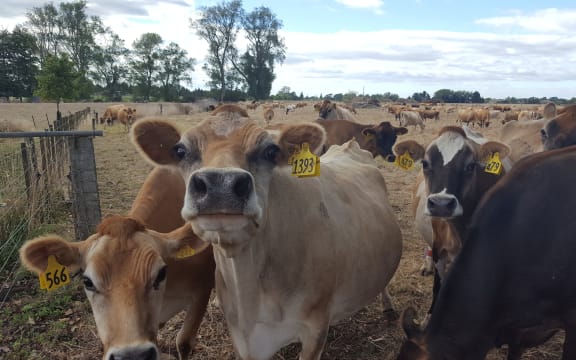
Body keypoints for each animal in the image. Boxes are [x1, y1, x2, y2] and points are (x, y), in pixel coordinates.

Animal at [131, 103, 402, 360]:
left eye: (271, 151)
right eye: (180, 151)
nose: (220, 185)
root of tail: (351, 145)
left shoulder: (315, 330)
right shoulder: (240, 338)